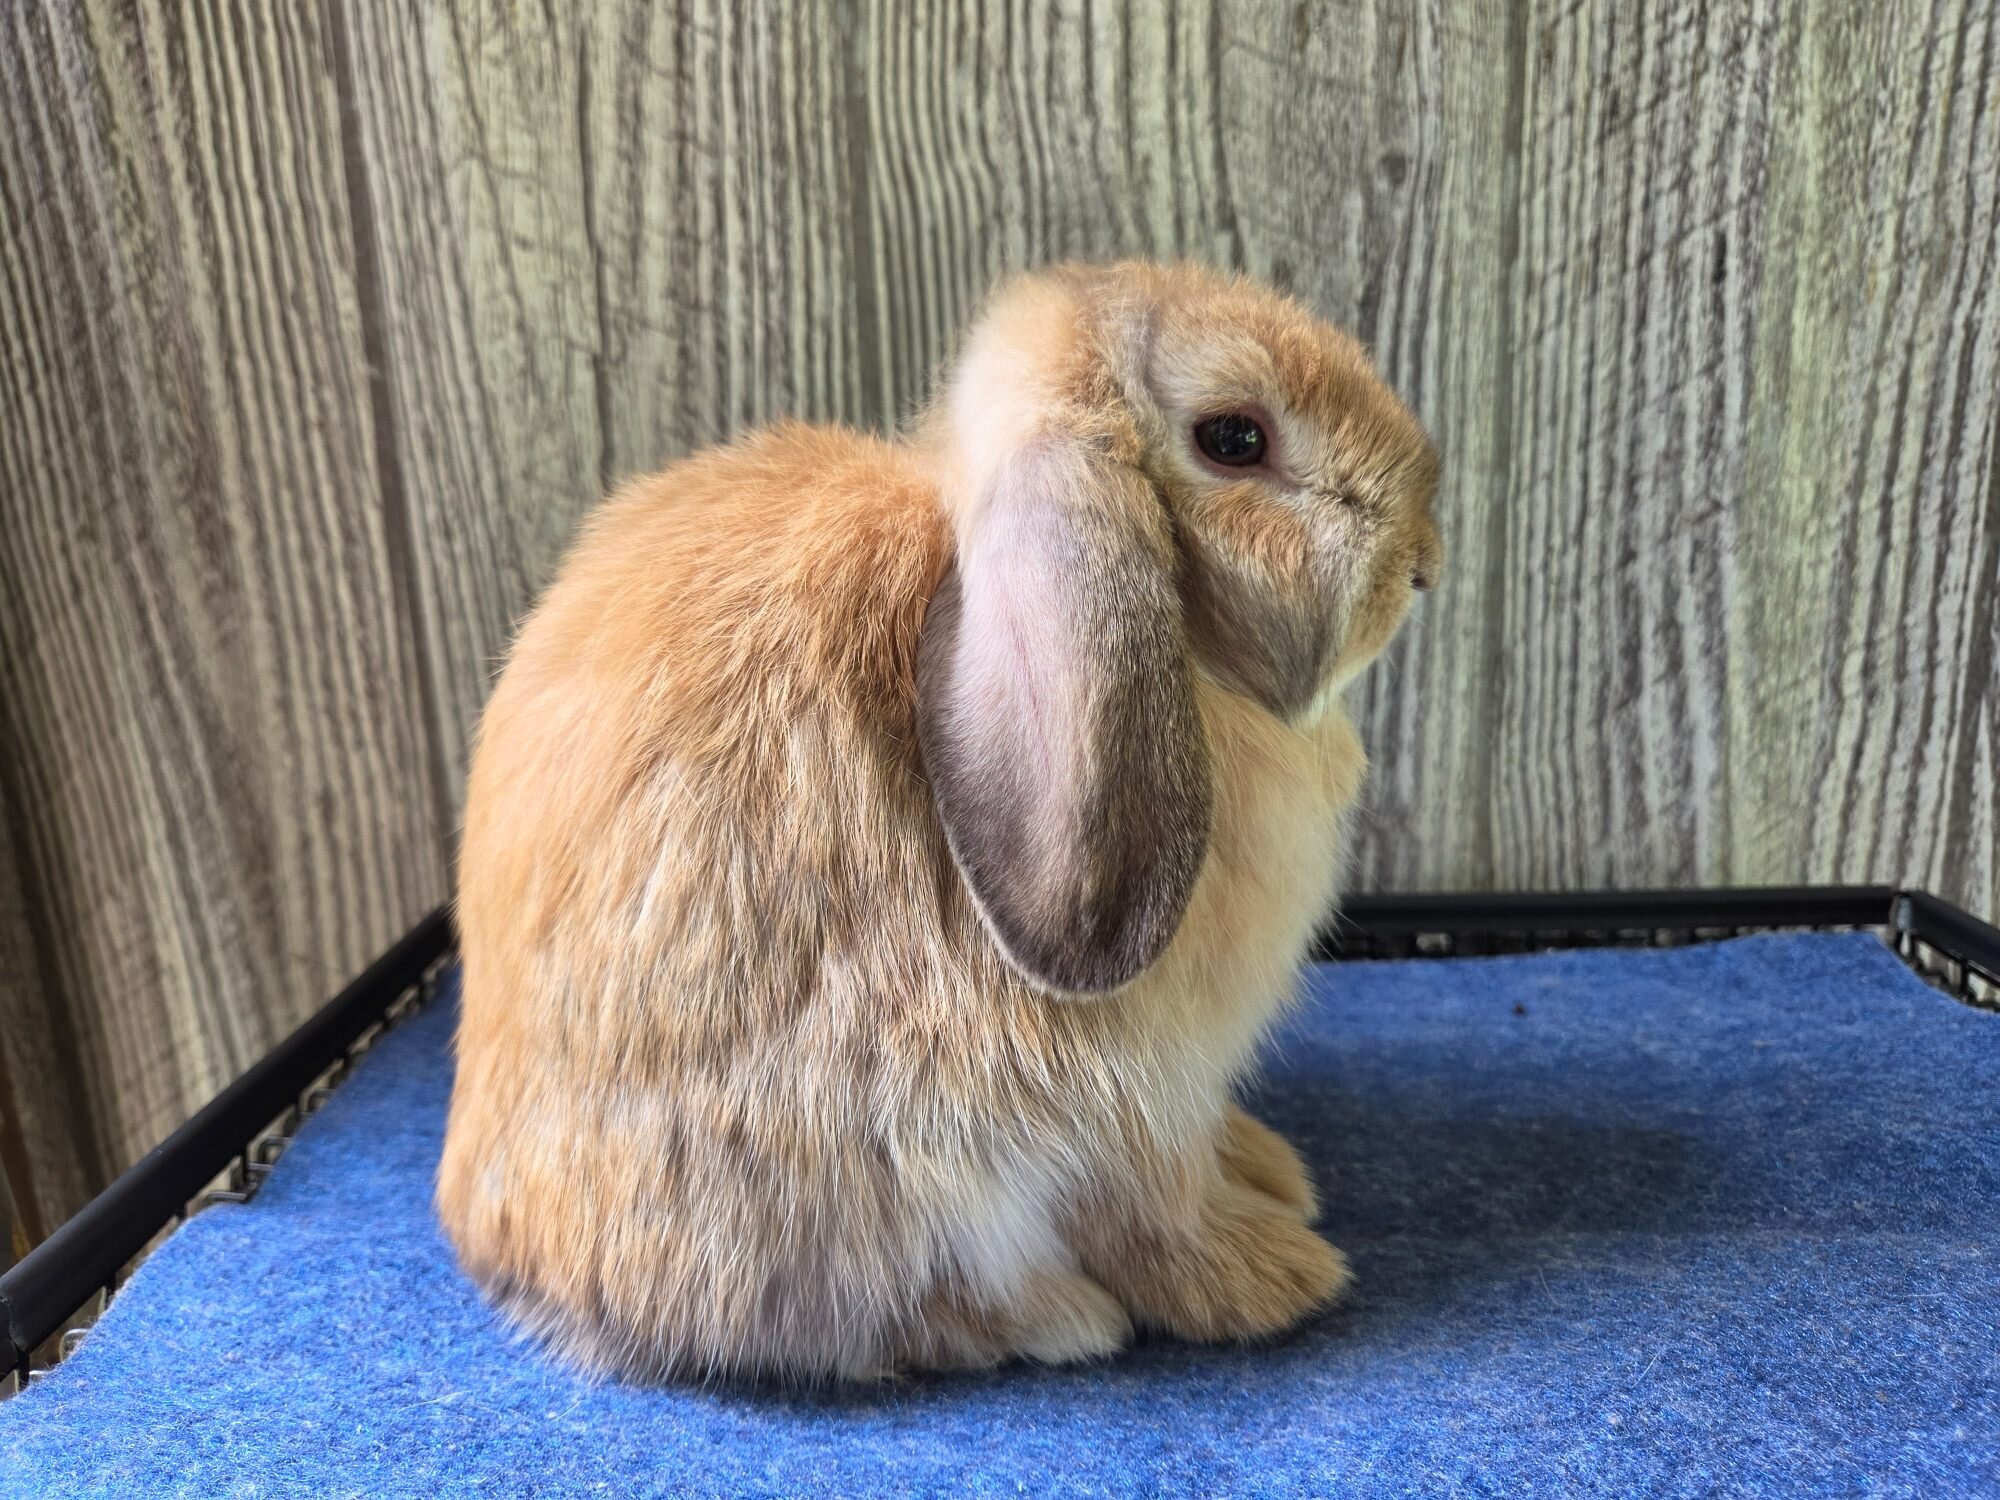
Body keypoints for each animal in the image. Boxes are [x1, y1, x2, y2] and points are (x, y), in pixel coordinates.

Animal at [437, 260, 1441, 1385]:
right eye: (1234, 438)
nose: (1422, 561)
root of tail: (510, 1252)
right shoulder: (1126, 1103)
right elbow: (1156, 1214)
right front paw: (1272, 1277)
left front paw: (1271, 1172)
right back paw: (1059, 1315)